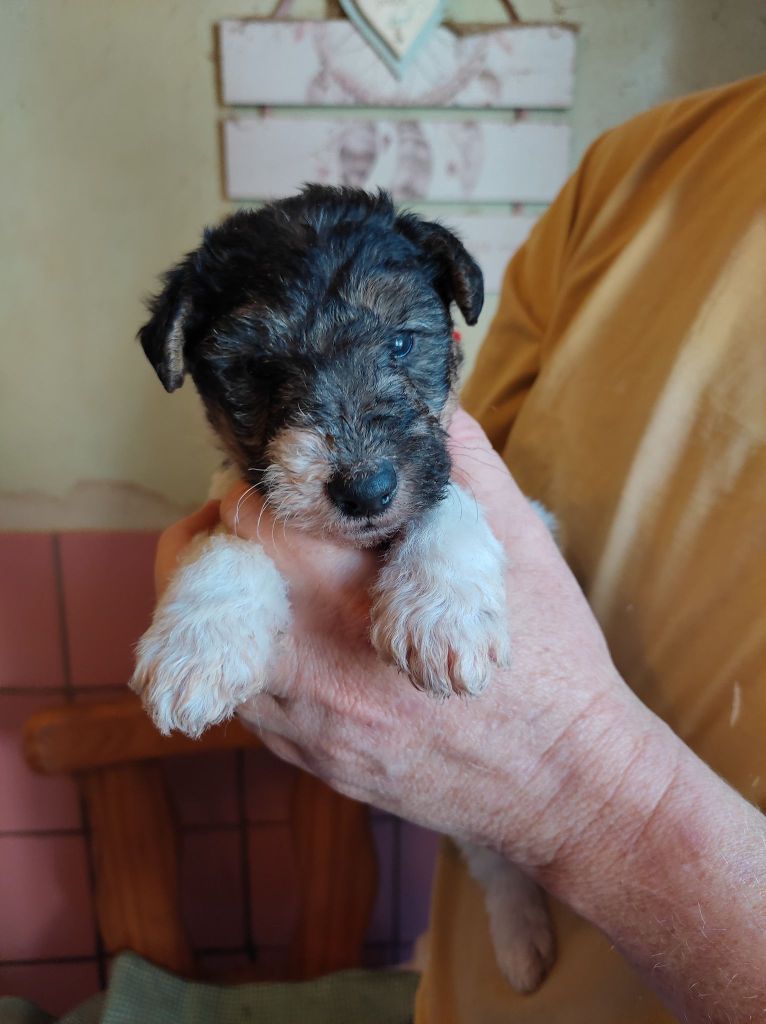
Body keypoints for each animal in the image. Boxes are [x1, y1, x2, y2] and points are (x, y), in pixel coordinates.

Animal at [130, 185, 555, 993]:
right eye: (260, 368)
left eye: (400, 344)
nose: (366, 489)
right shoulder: (234, 502)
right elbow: (225, 548)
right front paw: (198, 651)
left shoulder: (516, 505)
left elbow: (452, 500)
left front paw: (440, 614)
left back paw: (523, 946)